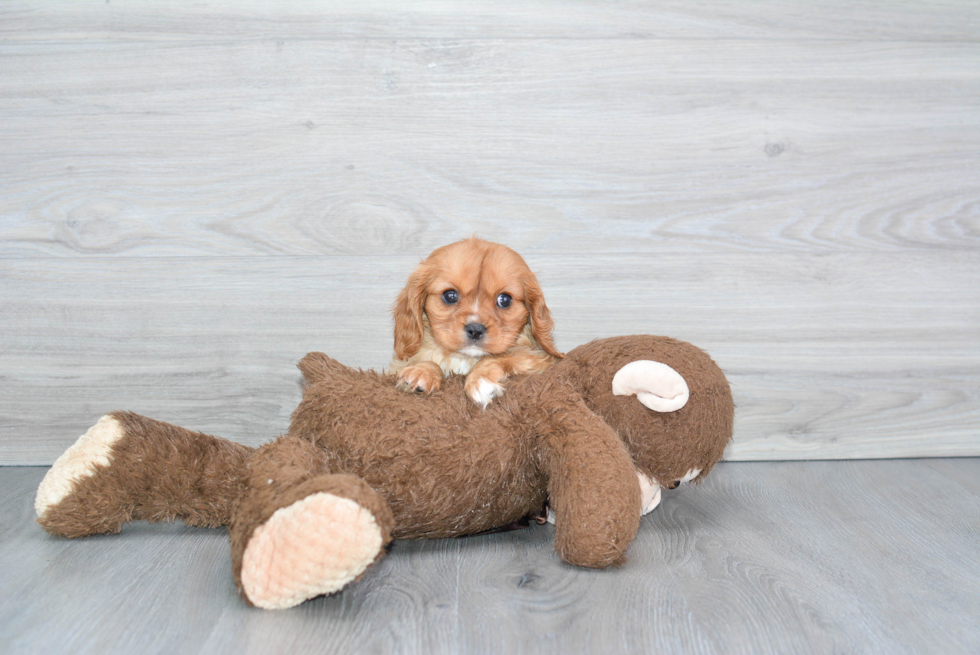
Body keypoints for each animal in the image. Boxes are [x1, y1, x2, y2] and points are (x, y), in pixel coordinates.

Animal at [388, 238, 560, 408]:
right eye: (450, 295)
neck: (464, 359)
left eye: (505, 299)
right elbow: (428, 361)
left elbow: (503, 356)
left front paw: (481, 380)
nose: (475, 330)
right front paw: (421, 371)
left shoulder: (539, 359)